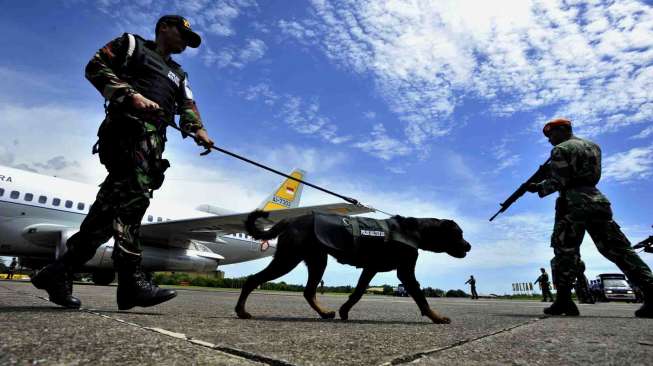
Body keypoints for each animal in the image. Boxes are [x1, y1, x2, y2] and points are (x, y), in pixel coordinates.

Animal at [234, 210, 468, 324]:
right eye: (459, 234)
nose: (469, 246)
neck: (416, 230)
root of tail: (290, 220)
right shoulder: (406, 272)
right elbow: (421, 298)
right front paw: (437, 318)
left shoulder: (370, 269)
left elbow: (357, 293)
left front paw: (344, 311)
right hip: (288, 259)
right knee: (252, 279)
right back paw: (241, 311)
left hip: (316, 260)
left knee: (309, 291)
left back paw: (325, 313)